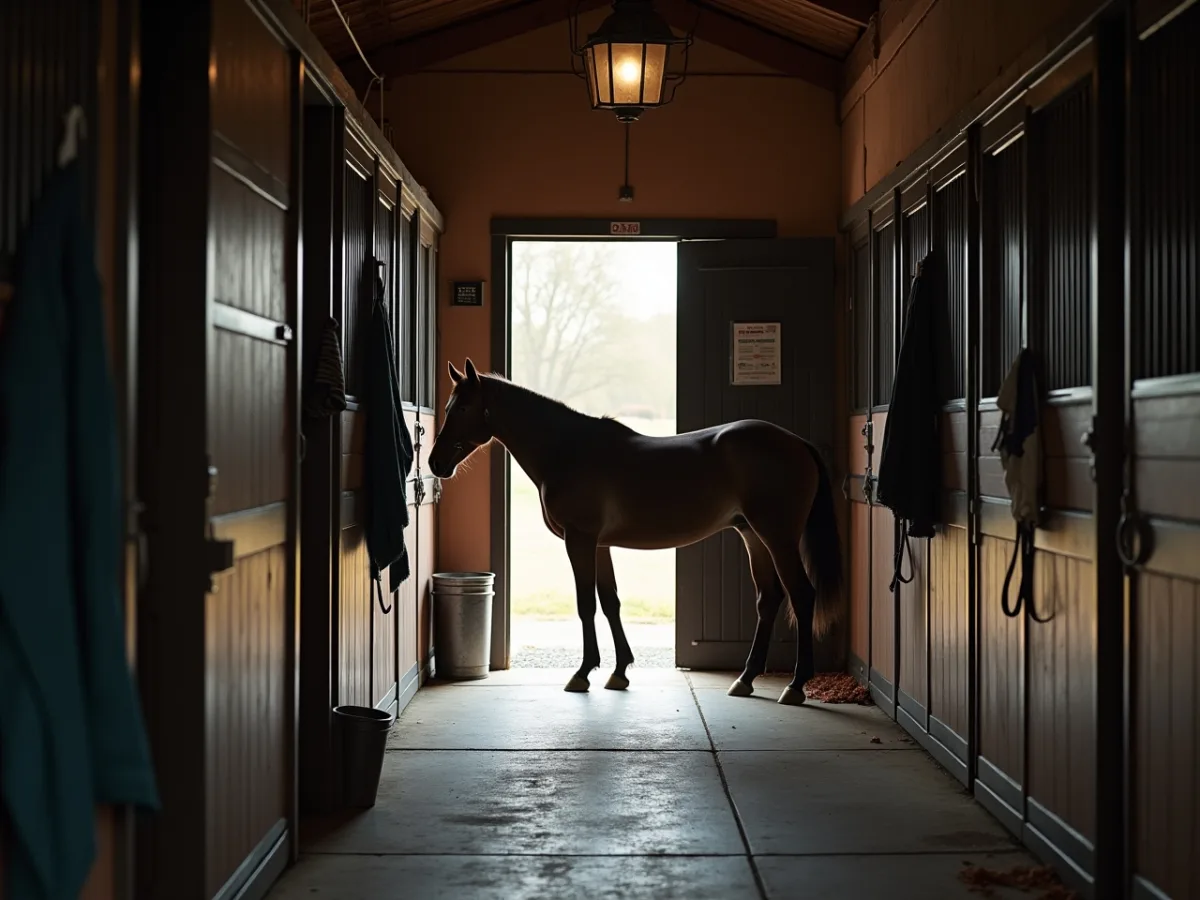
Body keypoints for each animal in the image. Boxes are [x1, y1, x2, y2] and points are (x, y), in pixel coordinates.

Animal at [427, 358, 844, 705]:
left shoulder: (580, 540)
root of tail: (797, 442)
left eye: (461, 408)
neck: (568, 449)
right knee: (769, 599)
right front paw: (619, 671)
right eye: (447, 408)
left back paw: (795, 686)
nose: (435, 463)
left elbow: (586, 603)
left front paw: (582, 673)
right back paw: (746, 679)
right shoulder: (600, 545)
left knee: (801, 595)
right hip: (753, 536)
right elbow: (610, 601)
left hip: (777, 538)